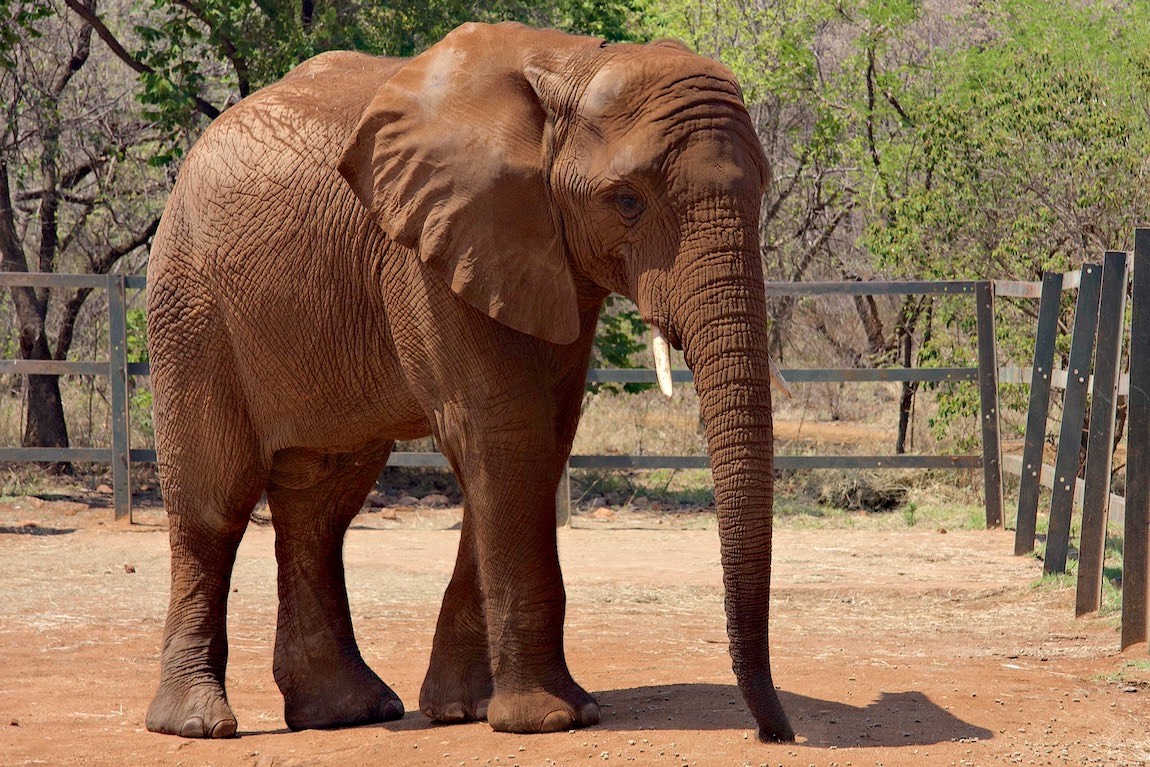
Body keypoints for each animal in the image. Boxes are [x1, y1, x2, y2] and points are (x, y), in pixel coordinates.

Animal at [143, 21, 794, 743]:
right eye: (627, 201)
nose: (775, 732)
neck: (569, 65)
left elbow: (541, 437)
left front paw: (467, 710)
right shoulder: (429, 251)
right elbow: (505, 429)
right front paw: (551, 718)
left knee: (322, 504)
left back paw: (347, 712)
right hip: (190, 304)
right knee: (215, 500)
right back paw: (198, 723)